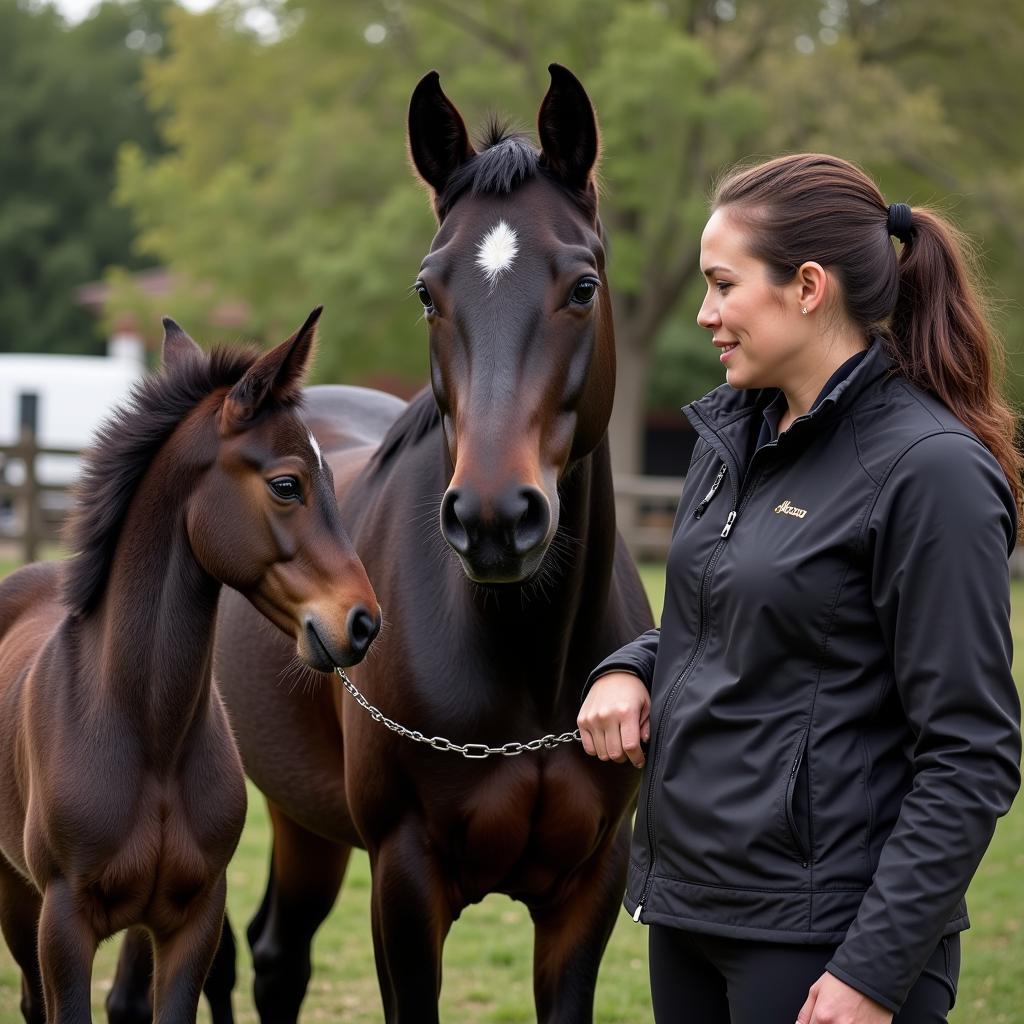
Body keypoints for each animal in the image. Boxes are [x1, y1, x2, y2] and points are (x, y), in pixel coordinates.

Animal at [0, 311, 380, 1024]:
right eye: (286, 484)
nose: (363, 623)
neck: (151, 735)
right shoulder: (63, 922)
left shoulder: (193, 918)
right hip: (16, 894)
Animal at [211, 66, 651, 1024]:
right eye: (426, 291)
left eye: (583, 286)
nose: (493, 519)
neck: (530, 670)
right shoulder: (405, 884)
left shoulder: (592, 886)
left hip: (304, 819)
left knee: (276, 952)